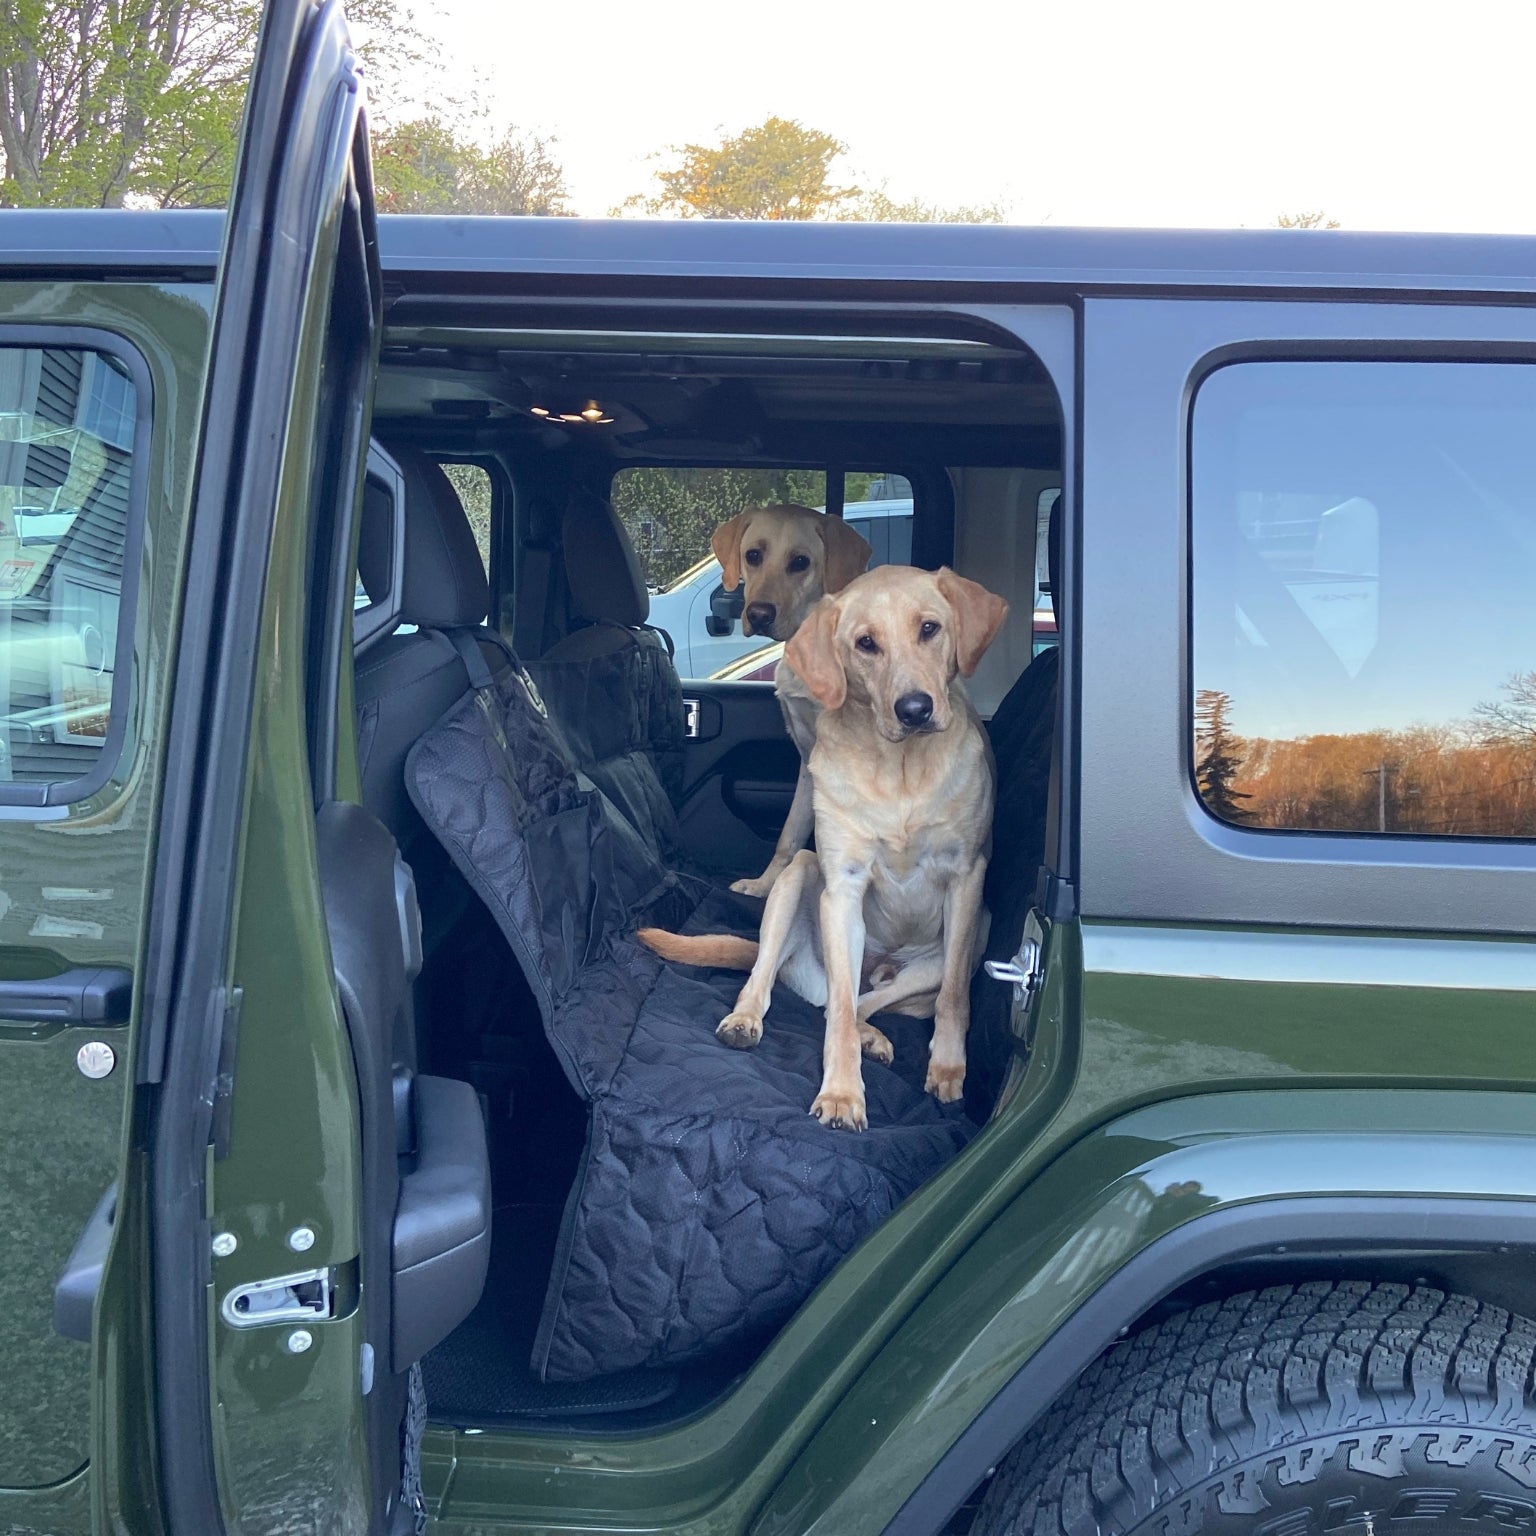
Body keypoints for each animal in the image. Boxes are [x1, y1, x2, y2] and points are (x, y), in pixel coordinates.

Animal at [638, 565, 1007, 1130]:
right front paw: (841, 1094)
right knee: (801, 988)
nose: (915, 710)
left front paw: (947, 1067)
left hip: (962, 940)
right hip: (799, 879)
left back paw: (876, 1036)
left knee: (868, 1002)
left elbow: (954, 999)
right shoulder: (843, 890)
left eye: (929, 628)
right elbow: (837, 1018)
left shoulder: (967, 879)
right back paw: (747, 1019)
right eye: (865, 644)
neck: (900, 771)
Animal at [709, 503, 872, 897]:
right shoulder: (809, 762)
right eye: (753, 555)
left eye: (800, 562)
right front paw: (765, 885)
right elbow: (789, 835)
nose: (758, 614)